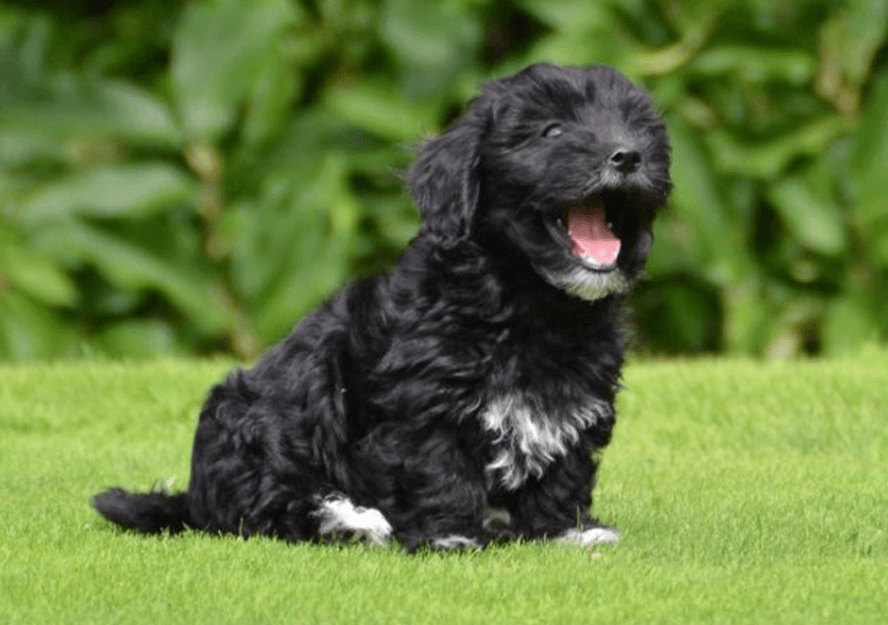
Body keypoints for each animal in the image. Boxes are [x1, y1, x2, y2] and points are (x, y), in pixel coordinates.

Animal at [93, 63, 668, 548]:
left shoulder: (571, 399)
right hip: (248, 427)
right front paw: (450, 535)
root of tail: (194, 496)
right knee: (265, 507)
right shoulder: (421, 404)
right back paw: (349, 520)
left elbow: (564, 466)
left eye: (639, 131)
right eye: (552, 132)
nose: (627, 155)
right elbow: (437, 468)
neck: (532, 301)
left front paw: (567, 530)